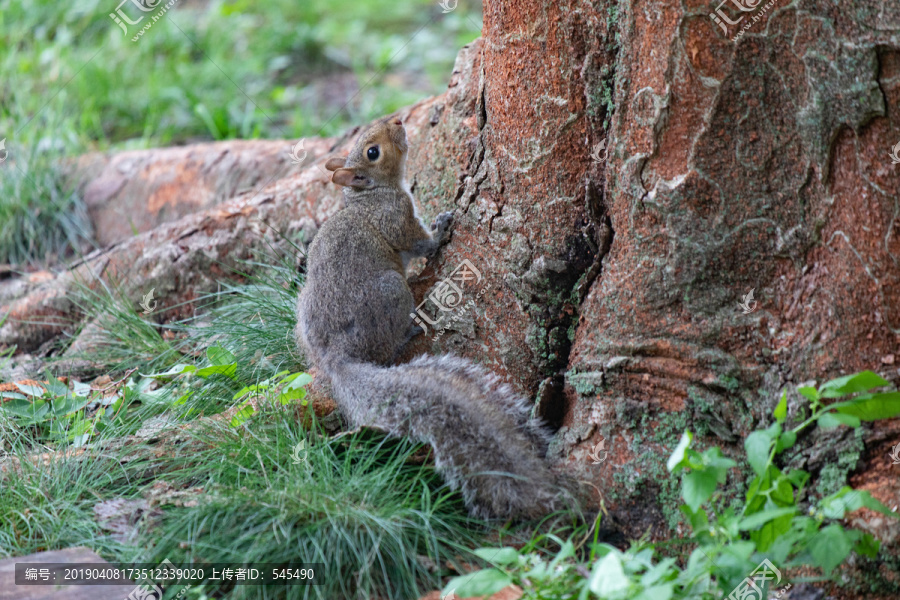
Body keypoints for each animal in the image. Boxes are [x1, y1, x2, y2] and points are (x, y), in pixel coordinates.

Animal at [298, 117, 572, 520]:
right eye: (373, 152)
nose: (397, 120)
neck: (368, 196)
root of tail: (337, 359)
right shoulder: (396, 219)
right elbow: (419, 243)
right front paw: (443, 227)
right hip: (391, 292)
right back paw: (408, 330)